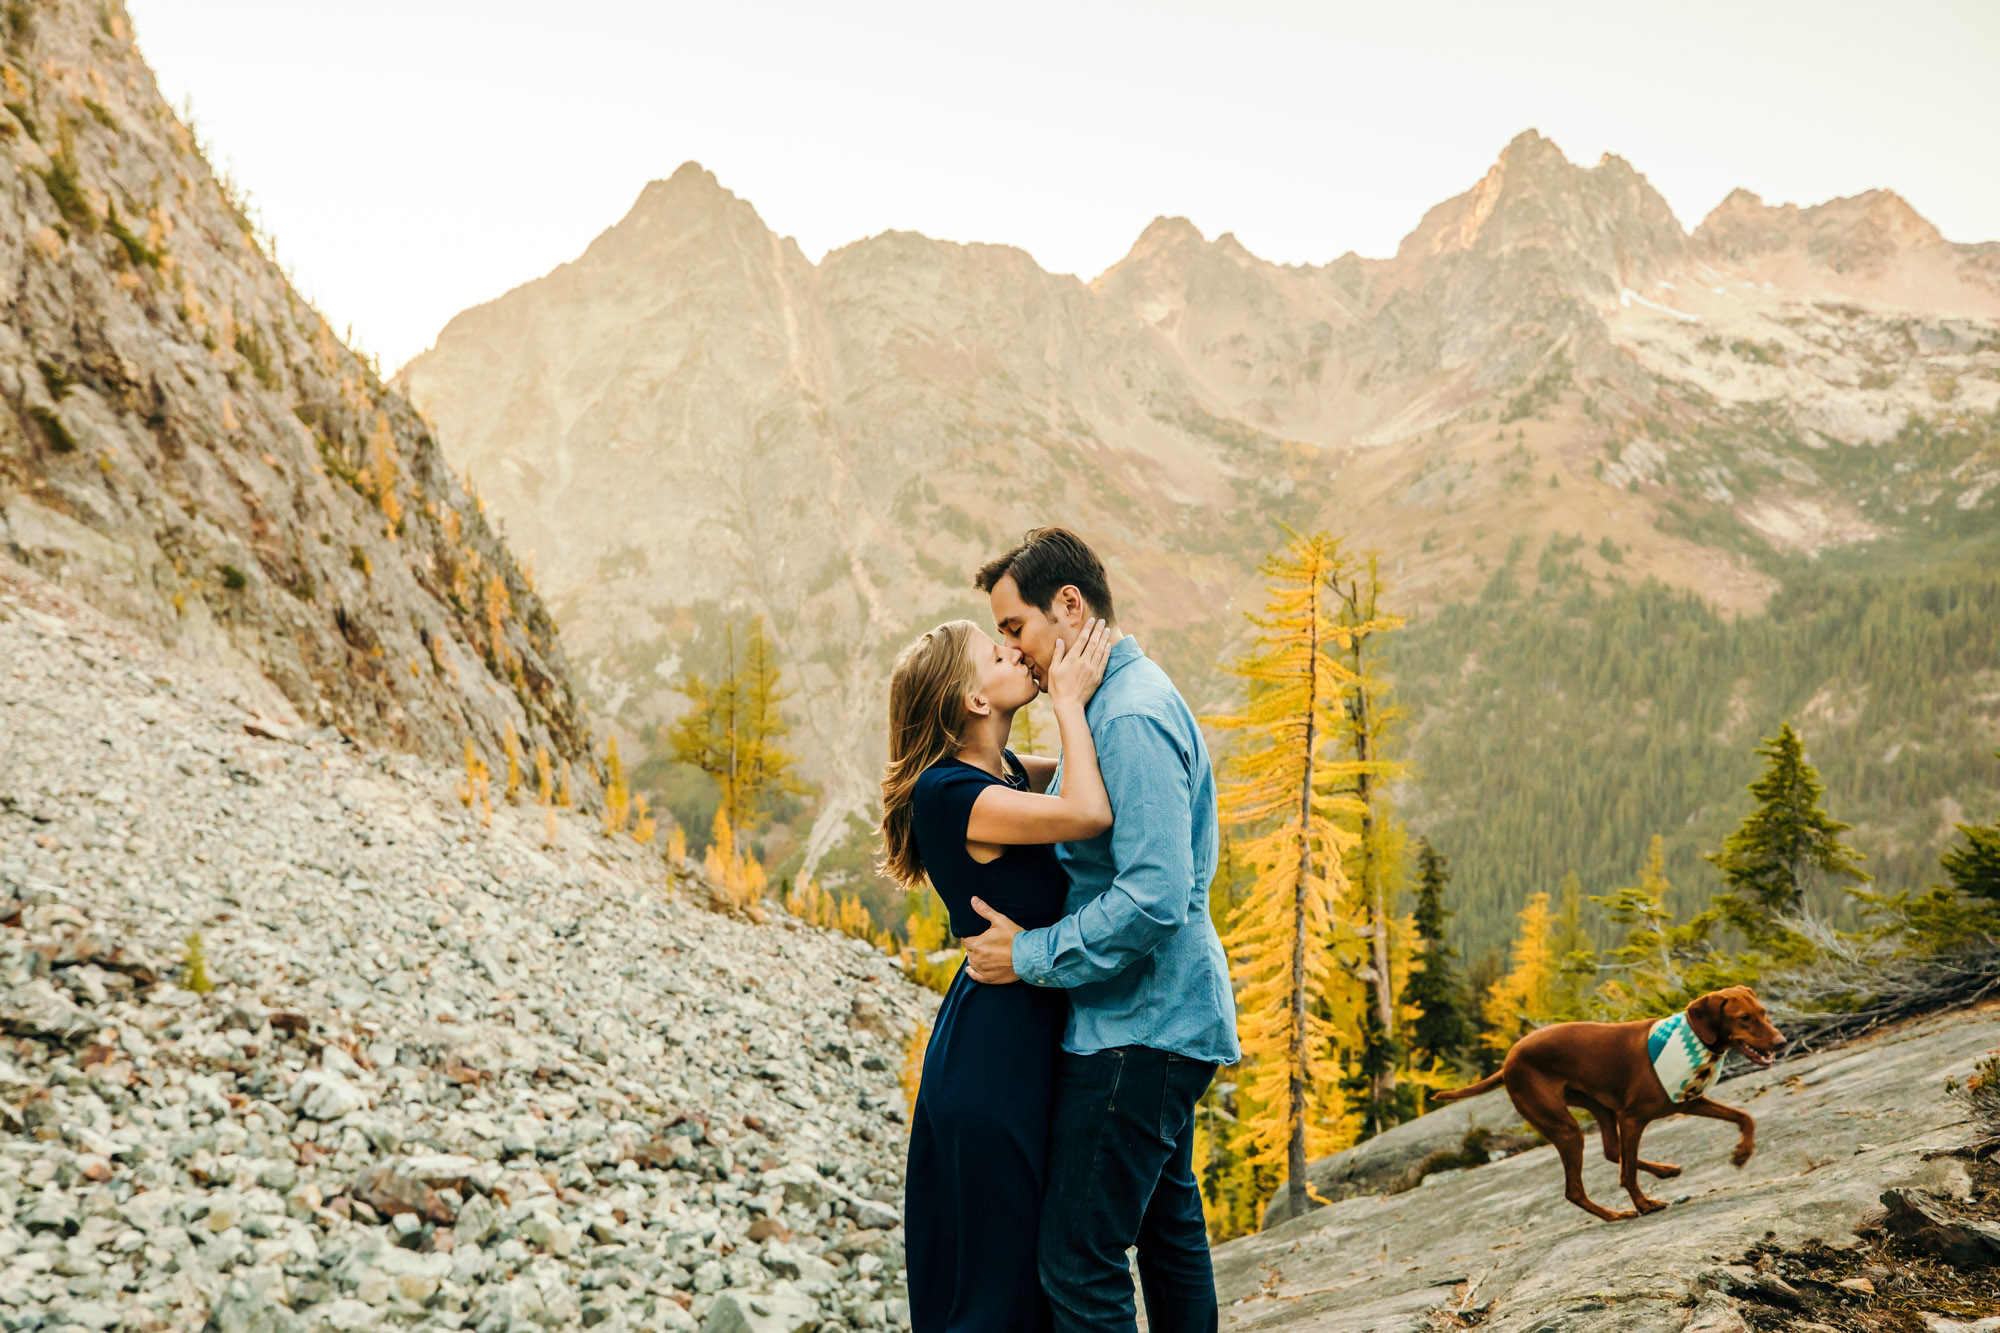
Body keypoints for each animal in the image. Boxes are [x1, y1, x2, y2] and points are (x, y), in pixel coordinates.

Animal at [1440, 980, 1784, 1216]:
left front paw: (1742, 1153)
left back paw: (1664, 1170)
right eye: (1744, 1018)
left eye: (1763, 1013)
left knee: (1609, 1151)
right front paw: (1644, 1204)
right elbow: (1627, 1174)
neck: (1695, 1041)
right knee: (1575, 1190)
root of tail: (1506, 1064)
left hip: (1598, 1107)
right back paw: (1616, 1215)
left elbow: (1745, 1117)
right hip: (1566, 1128)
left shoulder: (1689, 1101)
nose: (1781, 1042)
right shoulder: (1632, 1119)